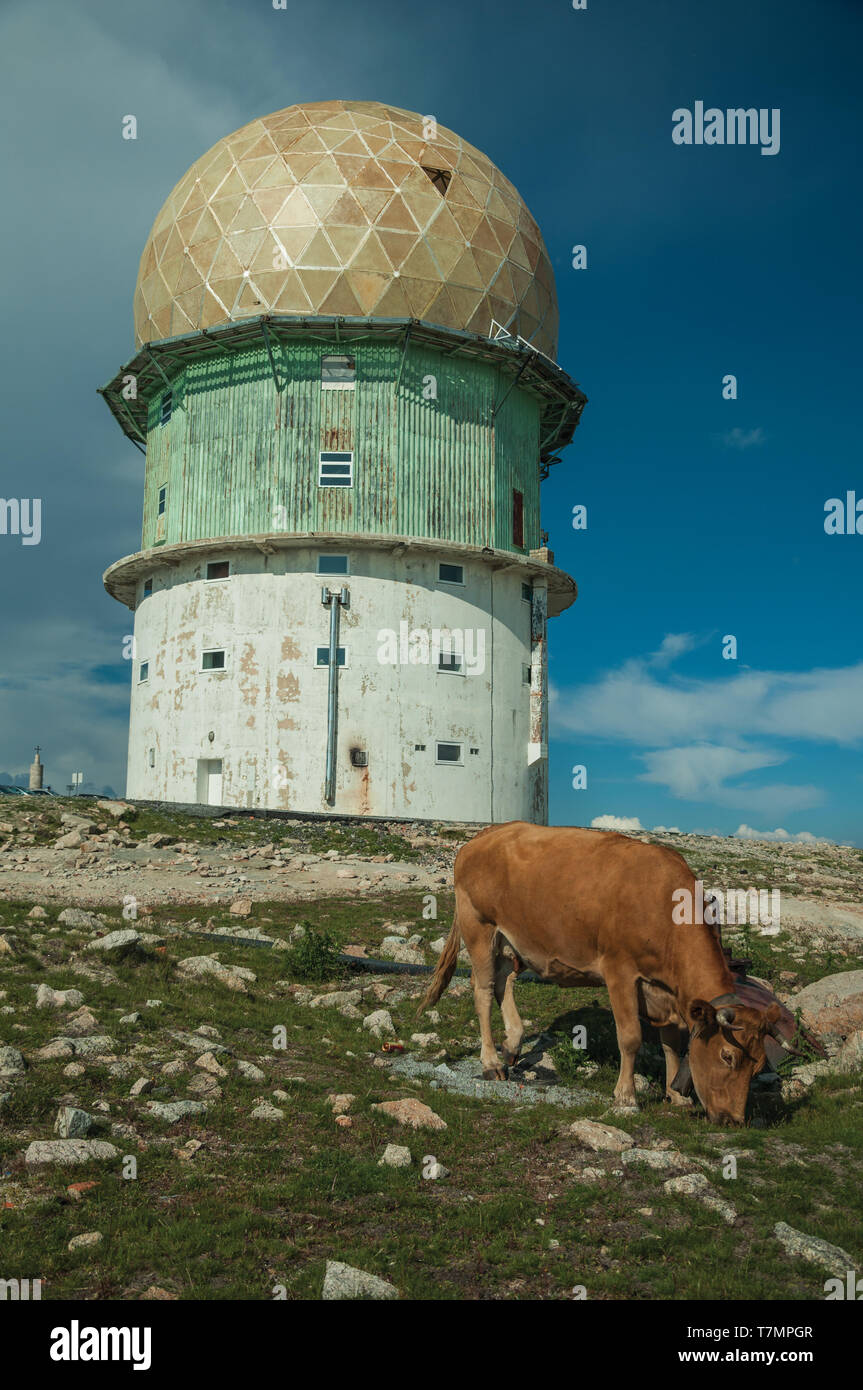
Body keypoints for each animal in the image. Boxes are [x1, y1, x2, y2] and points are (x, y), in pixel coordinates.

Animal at [418, 822, 785, 1126]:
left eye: (758, 1065)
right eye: (727, 1056)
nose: (733, 1120)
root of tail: (482, 836)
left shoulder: (665, 991)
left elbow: (671, 1044)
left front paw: (675, 1094)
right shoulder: (619, 969)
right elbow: (630, 1037)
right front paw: (626, 1097)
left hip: (511, 939)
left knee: (503, 982)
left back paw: (512, 1043)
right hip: (479, 925)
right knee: (482, 990)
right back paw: (491, 1062)